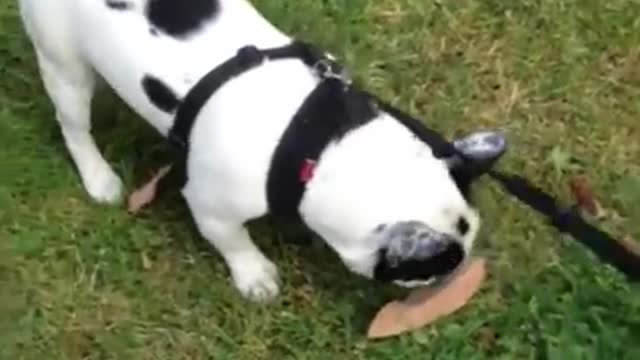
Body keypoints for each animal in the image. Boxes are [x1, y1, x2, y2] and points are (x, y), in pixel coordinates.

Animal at [16, 0, 504, 302]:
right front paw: (255, 276)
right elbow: (233, 241)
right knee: (73, 122)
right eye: (432, 266)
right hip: (63, 63)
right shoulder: (212, 207)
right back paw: (98, 176)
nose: (453, 279)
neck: (319, 148)